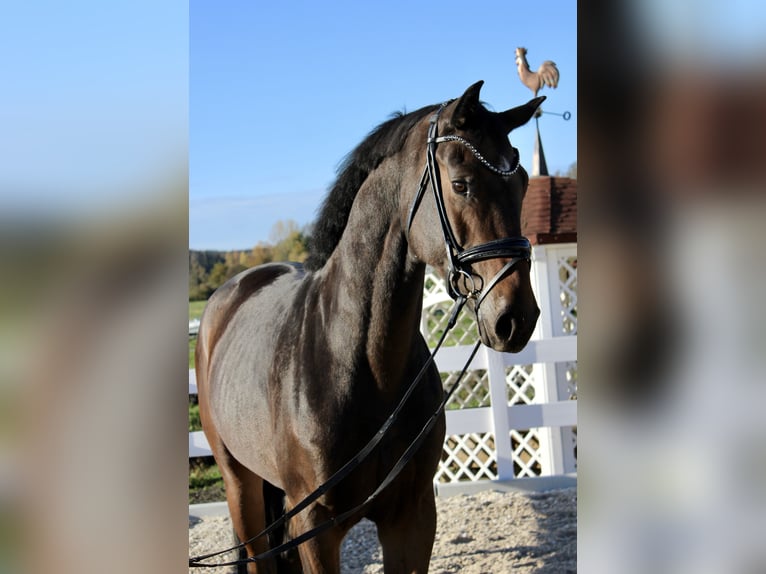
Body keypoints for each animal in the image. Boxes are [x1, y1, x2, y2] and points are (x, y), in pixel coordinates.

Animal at [198, 82, 544, 574]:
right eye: (461, 184)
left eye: (523, 183)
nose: (515, 317)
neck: (361, 363)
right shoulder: (315, 529)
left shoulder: (412, 516)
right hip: (239, 485)